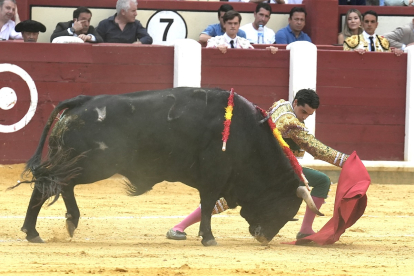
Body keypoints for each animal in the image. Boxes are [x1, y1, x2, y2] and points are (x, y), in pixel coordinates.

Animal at [16, 87, 320, 246]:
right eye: (285, 208)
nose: (264, 238)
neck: (248, 136)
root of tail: (83, 101)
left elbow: (208, 205)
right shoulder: (214, 178)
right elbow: (207, 205)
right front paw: (208, 238)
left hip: (78, 163)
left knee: (60, 184)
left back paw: (69, 222)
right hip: (89, 164)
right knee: (46, 183)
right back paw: (33, 233)